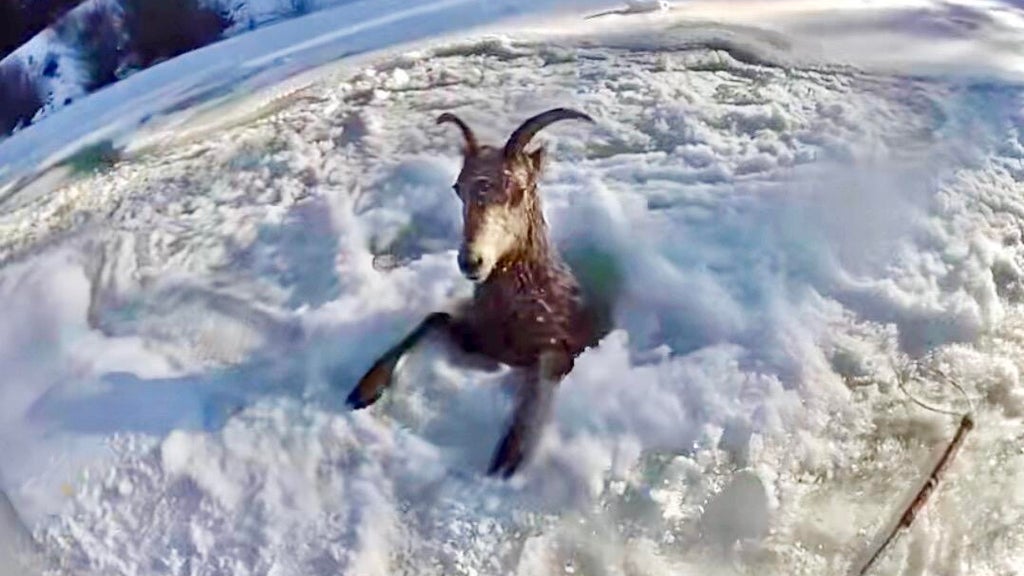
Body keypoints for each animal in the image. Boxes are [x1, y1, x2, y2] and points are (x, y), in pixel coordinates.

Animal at [345, 107, 612, 478]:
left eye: (520, 188)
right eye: (458, 187)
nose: (471, 261)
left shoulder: (559, 344)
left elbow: (546, 369)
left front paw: (508, 456)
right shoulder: (477, 336)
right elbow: (433, 317)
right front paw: (365, 389)